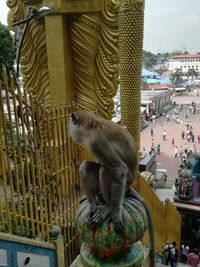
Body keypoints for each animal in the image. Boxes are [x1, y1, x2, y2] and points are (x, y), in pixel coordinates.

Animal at [68, 110, 155, 266]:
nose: (69, 131)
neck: (92, 126)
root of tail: (128, 187)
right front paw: (91, 204)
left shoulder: (98, 143)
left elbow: (119, 170)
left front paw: (114, 212)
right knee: (86, 166)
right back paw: (94, 202)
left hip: (122, 185)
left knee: (105, 170)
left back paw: (108, 206)